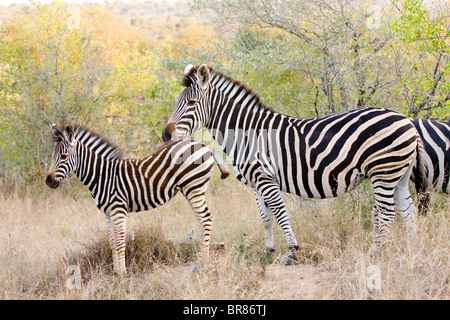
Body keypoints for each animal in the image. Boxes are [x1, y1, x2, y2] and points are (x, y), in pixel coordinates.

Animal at [45, 123, 229, 276]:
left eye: (63, 156)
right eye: (53, 156)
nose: (48, 181)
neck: (103, 176)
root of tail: (204, 145)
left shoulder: (118, 209)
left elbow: (120, 242)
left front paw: (123, 274)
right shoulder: (107, 212)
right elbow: (112, 242)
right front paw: (116, 272)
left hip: (194, 187)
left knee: (206, 219)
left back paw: (204, 262)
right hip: (194, 188)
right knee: (203, 219)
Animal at [161, 63, 426, 264]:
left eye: (192, 103)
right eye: (176, 102)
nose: (165, 136)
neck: (248, 134)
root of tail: (407, 120)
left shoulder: (266, 178)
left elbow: (281, 214)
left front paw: (292, 253)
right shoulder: (256, 183)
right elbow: (266, 218)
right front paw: (268, 251)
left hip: (384, 172)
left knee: (388, 213)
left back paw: (375, 253)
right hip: (399, 175)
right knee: (408, 210)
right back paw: (411, 250)